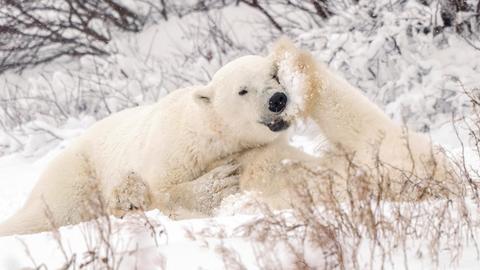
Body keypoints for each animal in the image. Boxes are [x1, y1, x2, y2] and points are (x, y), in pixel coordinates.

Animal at [0, 52, 304, 236]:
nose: (277, 99)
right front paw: (220, 181)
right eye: (242, 90)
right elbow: (162, 191)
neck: (209, 136)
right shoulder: (173, 150)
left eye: (274, 75)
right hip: (76, 174)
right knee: (52, 212)